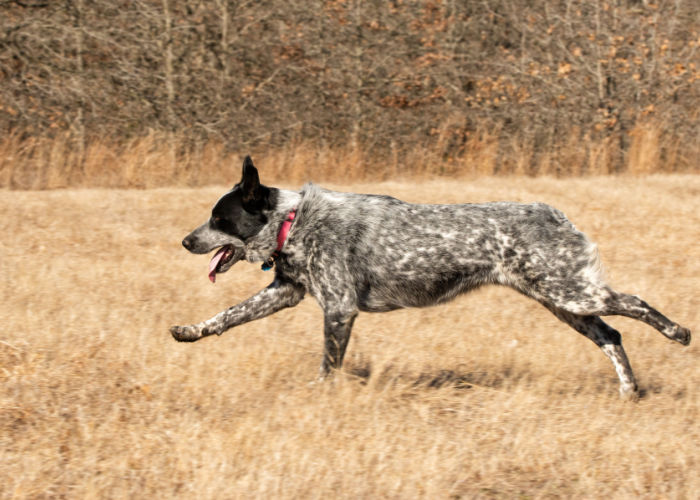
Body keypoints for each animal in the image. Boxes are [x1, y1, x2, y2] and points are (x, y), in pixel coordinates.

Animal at [170, 156, 688, 398]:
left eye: (218, 218)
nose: (184, 241)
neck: (294, 222)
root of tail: (556, 215)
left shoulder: (338, 309)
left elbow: (328, 364)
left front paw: (320, 395)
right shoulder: (285, 292)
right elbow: (226, 315)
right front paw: (190, 331)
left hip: (572, 294)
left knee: (636, 303)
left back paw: (678, 332)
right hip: (564, 302)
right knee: (612, 335)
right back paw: (629, 391)